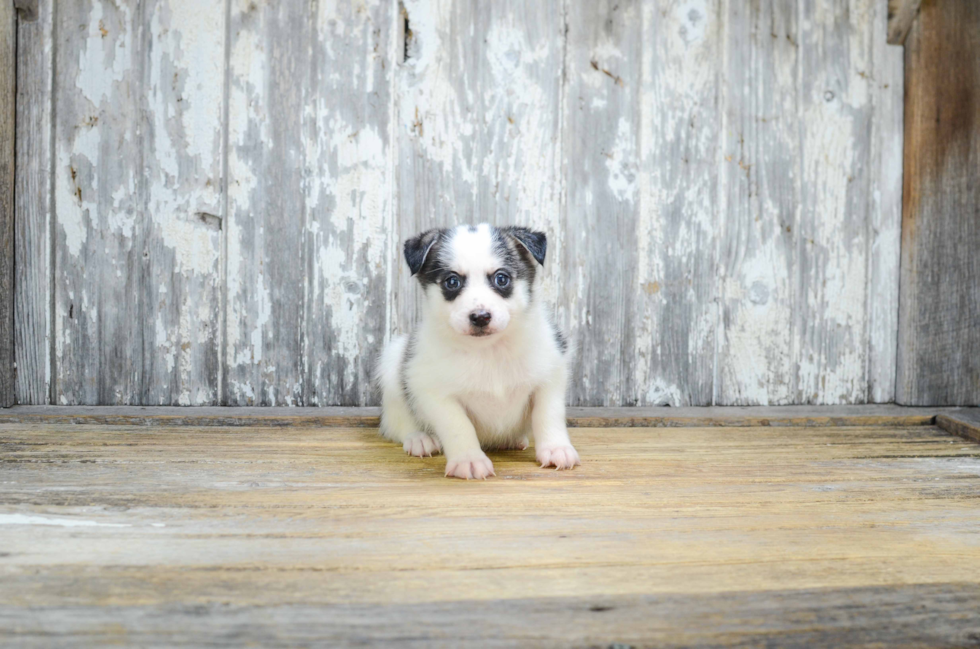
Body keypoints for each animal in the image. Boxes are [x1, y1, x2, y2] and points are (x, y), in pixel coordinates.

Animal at [374, 225, 576, 478]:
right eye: (452, 282)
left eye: (501, 278)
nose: (480, 317)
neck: (488, 350)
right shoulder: (435, 394)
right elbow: (458, 426)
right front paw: (468, 459)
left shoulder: (550, 377)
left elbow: (548, 415)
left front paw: (556, 448)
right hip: (392, 367)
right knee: (397, 423)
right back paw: (419, 438)